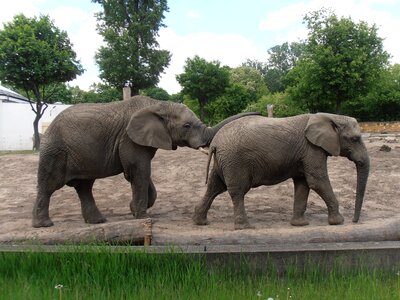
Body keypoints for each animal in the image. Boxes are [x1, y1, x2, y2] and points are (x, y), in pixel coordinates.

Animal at [33, 96, 260, 227]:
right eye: (187, 126)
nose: (257, 112)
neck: (158, 104)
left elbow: (141, 173)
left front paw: (134, 209)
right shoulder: (129, 138)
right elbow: (138, 170)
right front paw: (141, 216)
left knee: (84, 186)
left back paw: (97, 221)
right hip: (55, 150)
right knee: (50, 185)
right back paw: (44, 224)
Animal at [192, 112, 370, 230]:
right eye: (355, 139)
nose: (354, 221)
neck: (331, 117)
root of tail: (215, 142)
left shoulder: (305, 153)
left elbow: (303, 183)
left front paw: (300, 224)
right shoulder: (312, 150)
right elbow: (316, 181)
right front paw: (338, 222)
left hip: (224, 161)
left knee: (215, 186)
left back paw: (200, 222)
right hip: (234, 161)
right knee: (237, 191)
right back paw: (245, 227)